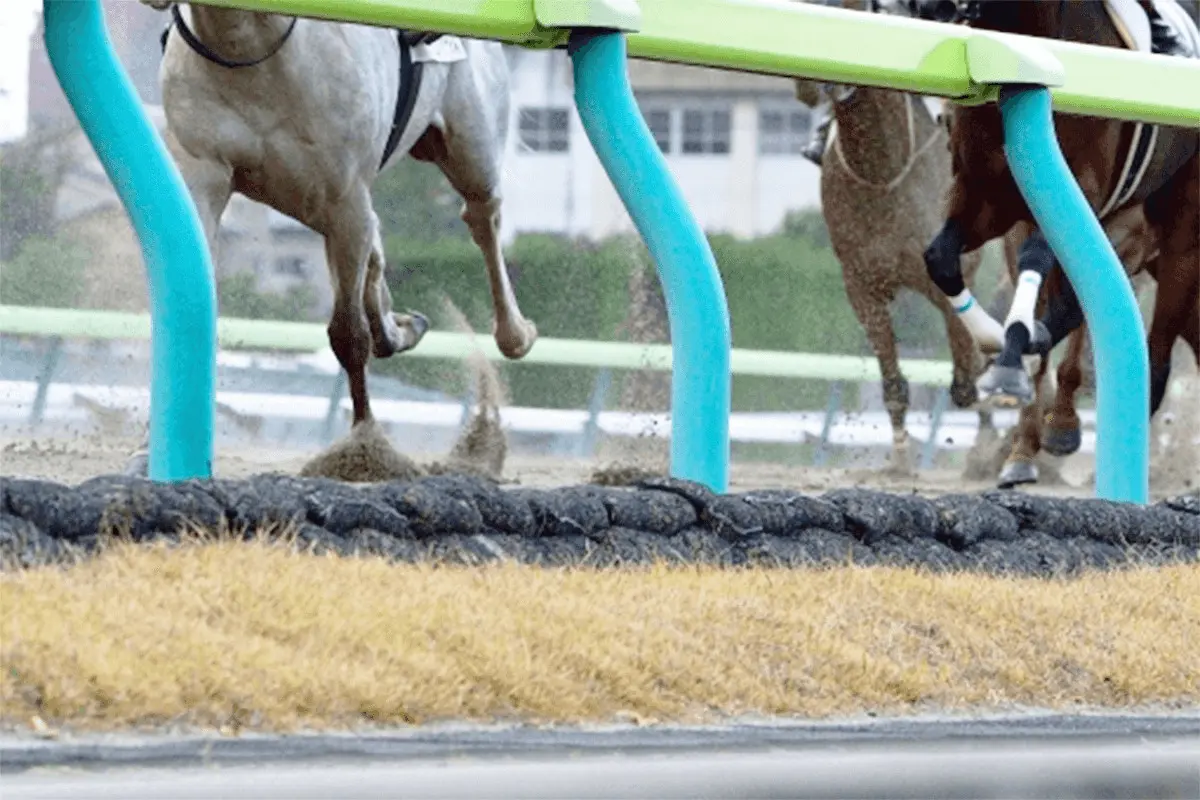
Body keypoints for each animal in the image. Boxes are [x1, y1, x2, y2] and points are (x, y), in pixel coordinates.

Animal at [132, 1, 538, 472]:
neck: (252, 47)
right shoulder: (205, 175)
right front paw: (147, 450)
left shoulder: (344, 200)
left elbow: (348, 333)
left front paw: (365, 448)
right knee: (378, 252)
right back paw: (398, 325)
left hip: (469, 148)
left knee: (481, 216)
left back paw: (514, 333)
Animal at [906, 0, 1199, 482]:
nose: (928, 8)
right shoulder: (984, 195)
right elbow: (940, 258)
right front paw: (995, 339)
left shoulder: (1081, 189)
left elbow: (1037, 260)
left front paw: (1011, 359)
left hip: (1180, 244)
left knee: (1156, 360)